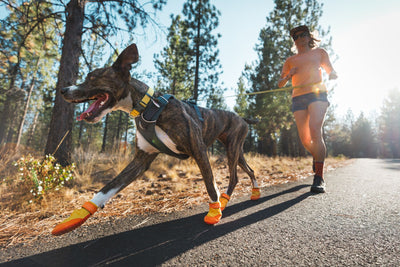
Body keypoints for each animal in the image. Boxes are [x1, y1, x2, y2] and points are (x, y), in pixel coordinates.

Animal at [51, 43, 260, 237]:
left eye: (92, 77)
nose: (63, 90)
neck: (147, 109)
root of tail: (242, 118)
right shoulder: (141, 159)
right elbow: (108, 187)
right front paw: (77, 216)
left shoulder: (199, 150)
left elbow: (210, 184)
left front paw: (214, 211)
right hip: (237, 152)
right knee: (250, 170)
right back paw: (254, 192)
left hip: (232, 150)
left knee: (234, 177)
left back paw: (223, 202)